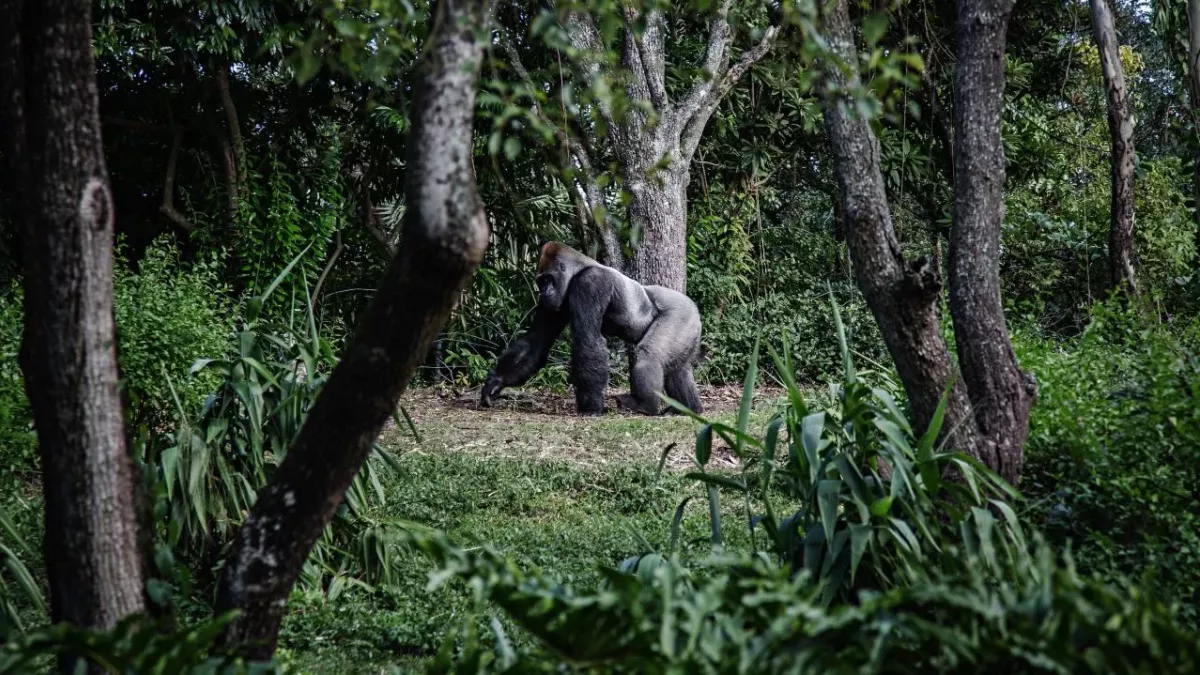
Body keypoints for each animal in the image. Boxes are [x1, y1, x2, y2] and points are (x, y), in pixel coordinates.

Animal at [479, 242, 703, 416]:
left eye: (548, 279)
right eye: (540, 281)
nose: (543, 291)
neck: (579, 268)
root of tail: (693, 307)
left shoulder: (590, 283)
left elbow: (587, 339)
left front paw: (591, 407)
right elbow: (537, 340)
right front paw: (496, 382)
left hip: (681, 313)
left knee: (649, 354)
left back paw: (645, 405)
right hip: (689, 326)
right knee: (678, 369)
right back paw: (688, 408)